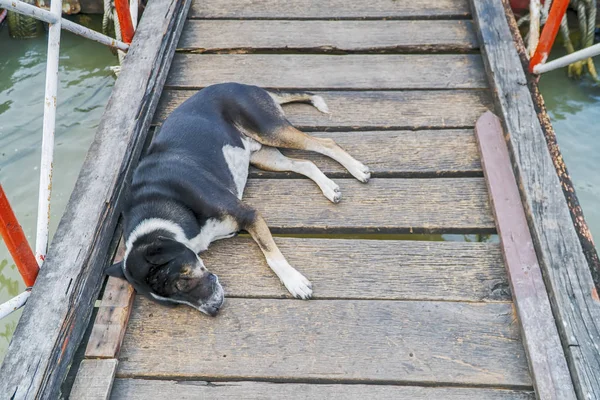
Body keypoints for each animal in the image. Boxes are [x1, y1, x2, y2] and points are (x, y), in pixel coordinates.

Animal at [106, 83, 370, 316]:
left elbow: (271, 256)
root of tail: (247, 85)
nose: (213, 310)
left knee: (326, 143)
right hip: (264, 156)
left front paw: (294, 281)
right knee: (305, 163)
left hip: (270, 130)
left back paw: (357, 169)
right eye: (173, 304)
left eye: (180, 283)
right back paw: (329, 187)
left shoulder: (249, 214)